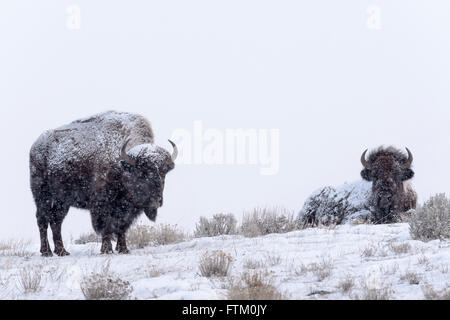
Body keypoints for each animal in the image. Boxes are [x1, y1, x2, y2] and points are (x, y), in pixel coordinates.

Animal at [29, 111, 178, 256]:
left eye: (164, 172)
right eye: (142, 172)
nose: (156, 201)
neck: (122, 164)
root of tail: (35, 146)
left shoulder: (126, 209)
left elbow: (122, 227)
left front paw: (123, 249)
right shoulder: (102, 204)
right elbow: (106, 226)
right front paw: (107, 249)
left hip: (62, 201)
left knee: (56, 221)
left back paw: (62, 251)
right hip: (42, 195)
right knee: (42, 220)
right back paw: (46, 251)